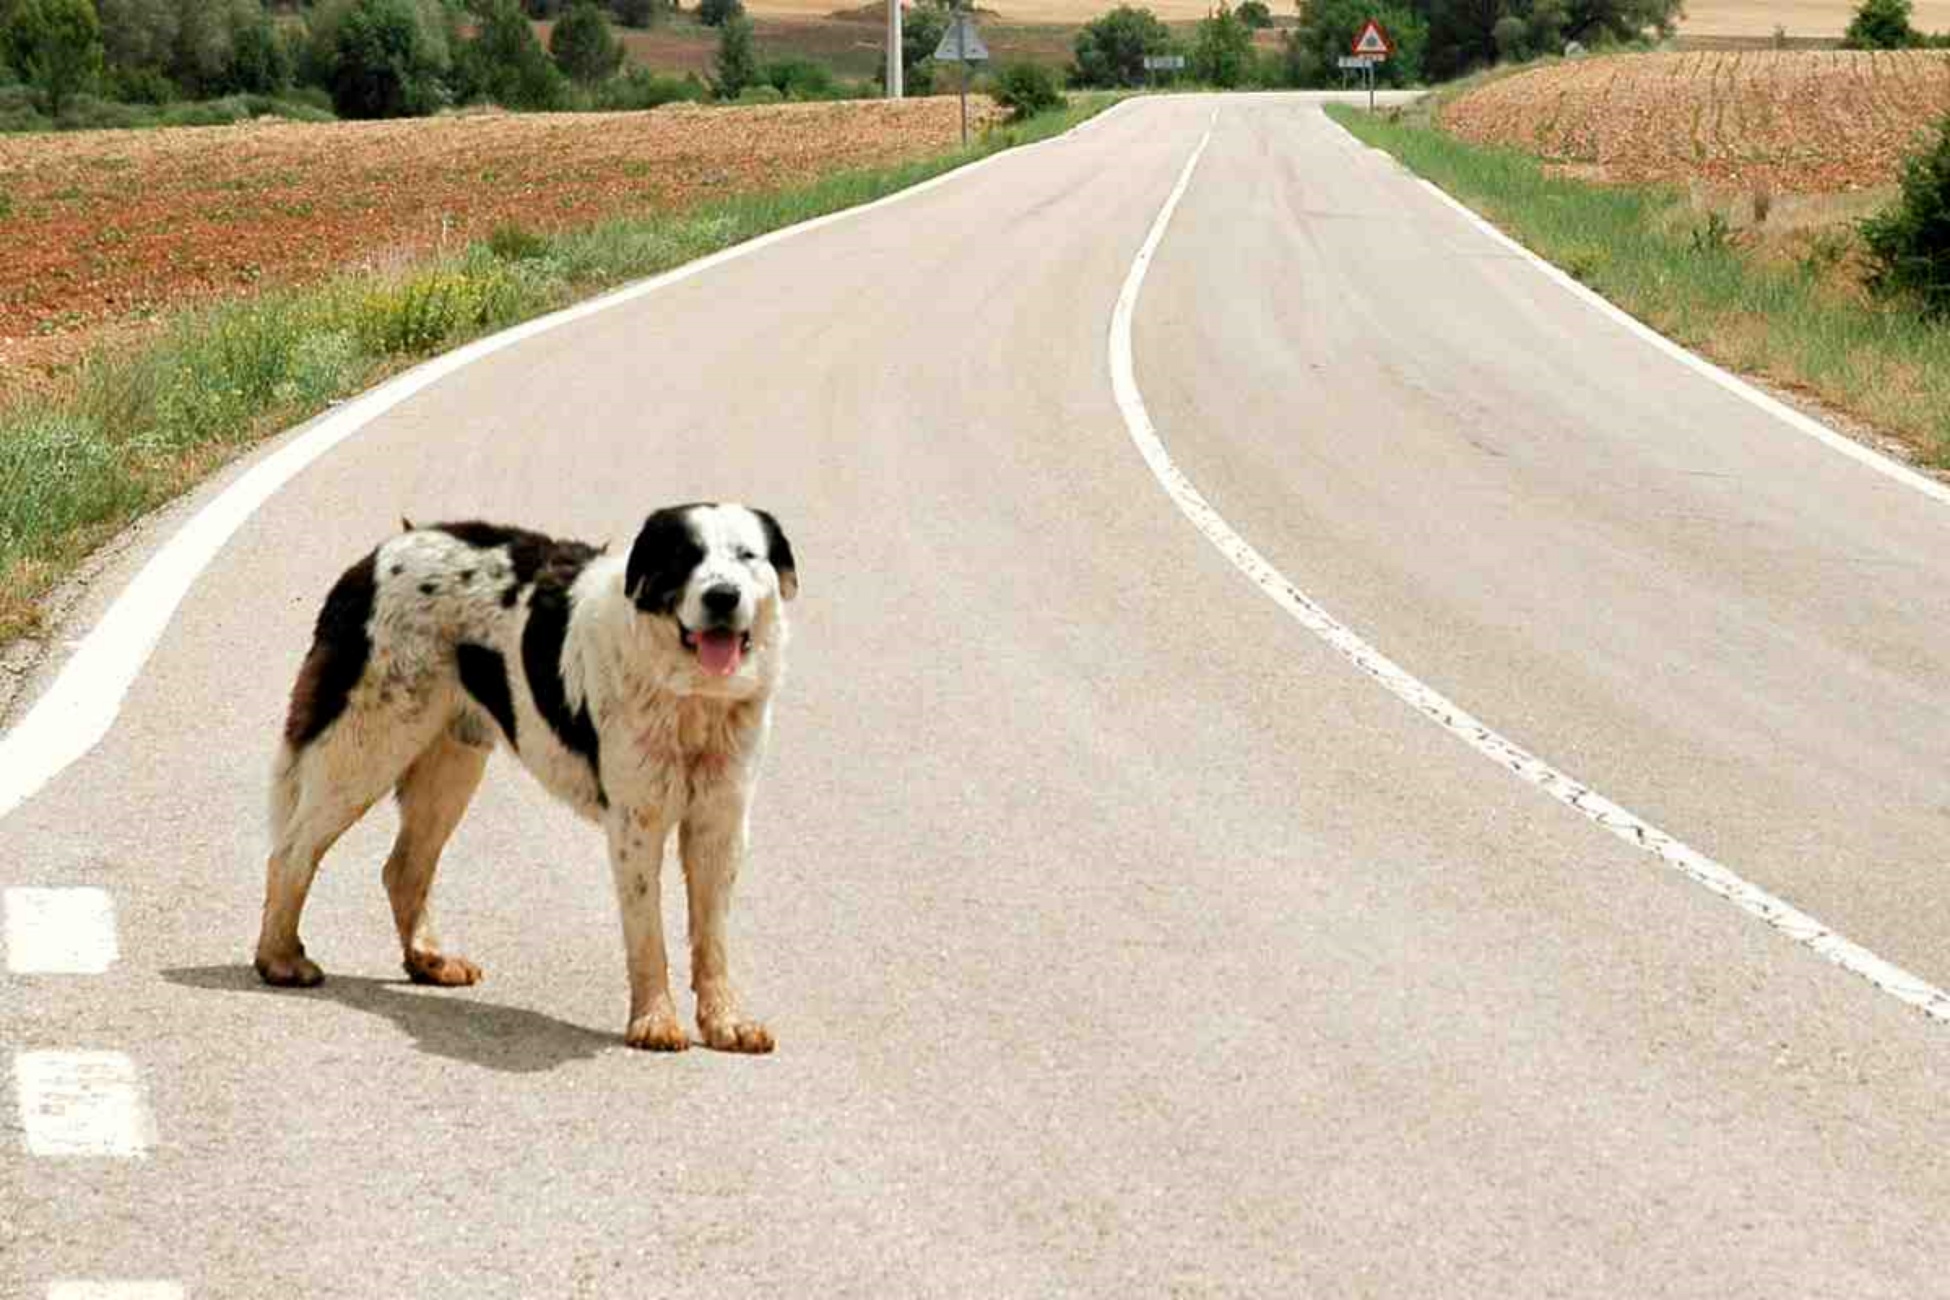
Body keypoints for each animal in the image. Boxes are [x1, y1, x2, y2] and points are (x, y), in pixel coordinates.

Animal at [253, 502, 799, 1052]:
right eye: (685, 558)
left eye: (746, 556)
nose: (722, 596)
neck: (693, 697)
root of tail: (375, 558)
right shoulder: (635, 824)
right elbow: (648, 935)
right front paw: (655, 1021)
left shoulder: (720, 823)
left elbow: (712, 937)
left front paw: (726, 1022)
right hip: (368, 746)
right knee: (291, 852)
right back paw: (280, 960)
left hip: (452, 761)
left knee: (403, 867)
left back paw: (430, 961)